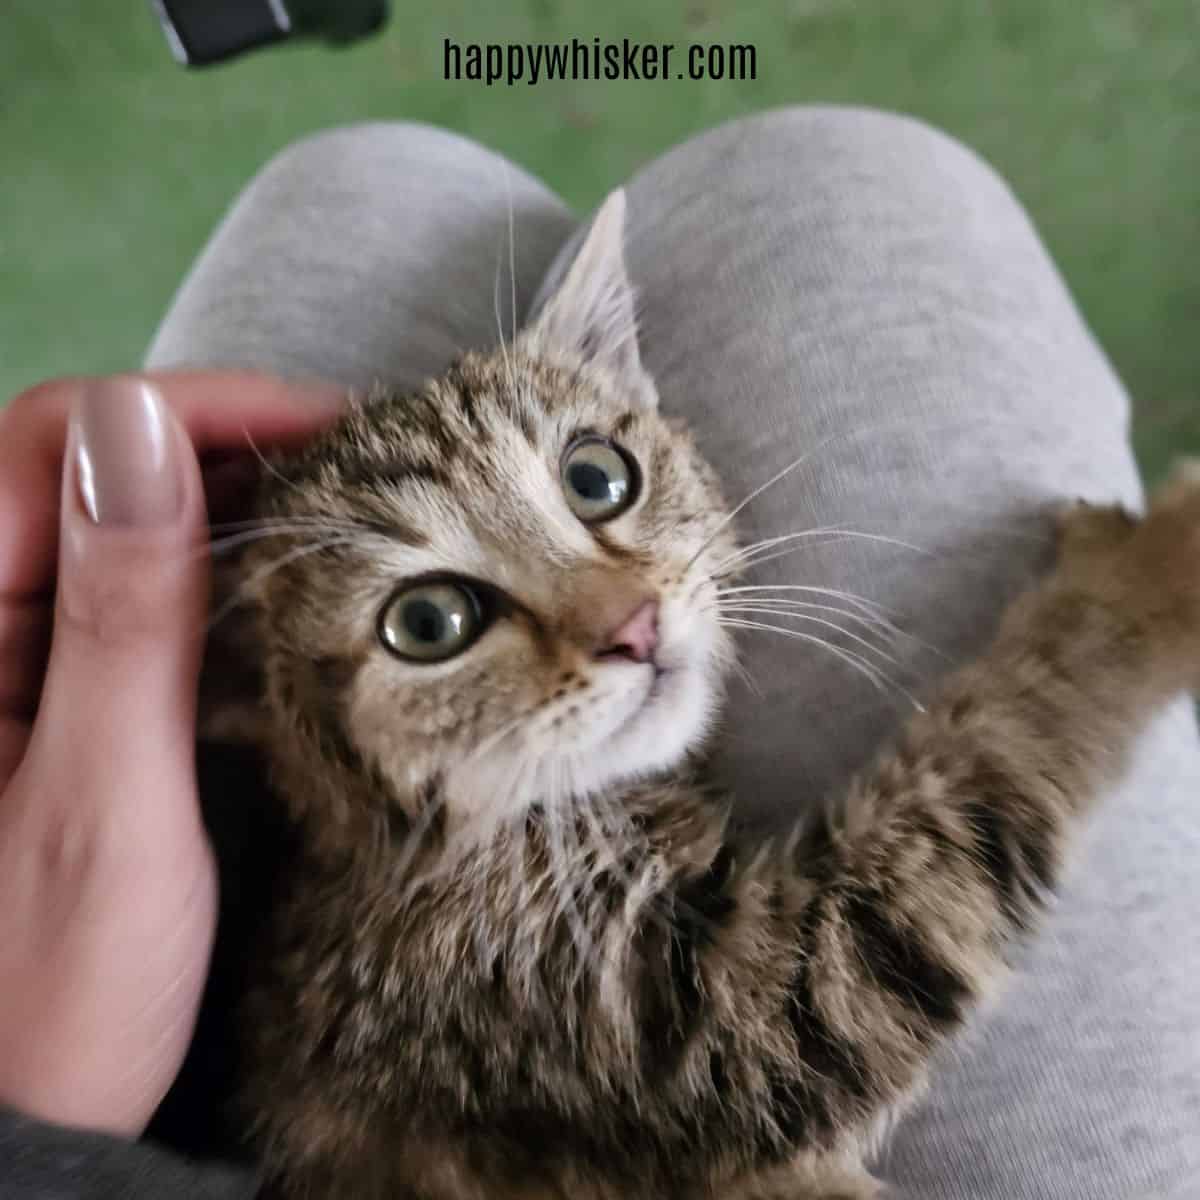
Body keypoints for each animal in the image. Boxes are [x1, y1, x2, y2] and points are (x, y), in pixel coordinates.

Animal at [211, 192, 1200, 1195]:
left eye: (597, 475)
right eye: (427, 622)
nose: (634, 624)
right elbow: (974, 786)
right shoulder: (691, 1023)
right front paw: (1145, 574)